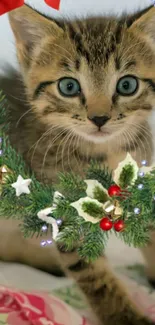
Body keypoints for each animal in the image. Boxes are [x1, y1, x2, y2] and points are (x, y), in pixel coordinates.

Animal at [0, 3, 155, 324]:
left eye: (127, 84)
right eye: (69, 86)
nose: (99, 118)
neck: (105, 154)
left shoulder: (141, 185)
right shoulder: (65, 211)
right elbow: (95, 277)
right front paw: (125, 317)